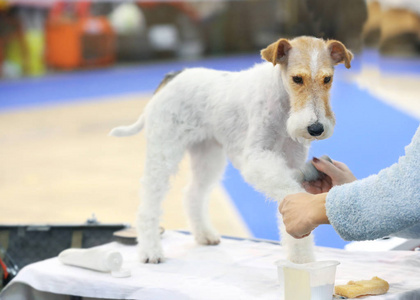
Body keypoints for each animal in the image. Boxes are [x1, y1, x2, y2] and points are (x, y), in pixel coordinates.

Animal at [110, 36, 352, 264]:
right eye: (297, 79)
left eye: (327, 79)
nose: (315, 128)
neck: (284, 104)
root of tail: (173, 76)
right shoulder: (257, 159)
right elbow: (290, 192)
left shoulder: (293, 163)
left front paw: (302, 261)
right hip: (164, 151)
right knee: (148, 205)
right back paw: (150, 252)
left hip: (207, 155)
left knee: (193, 194)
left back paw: (204, 234)